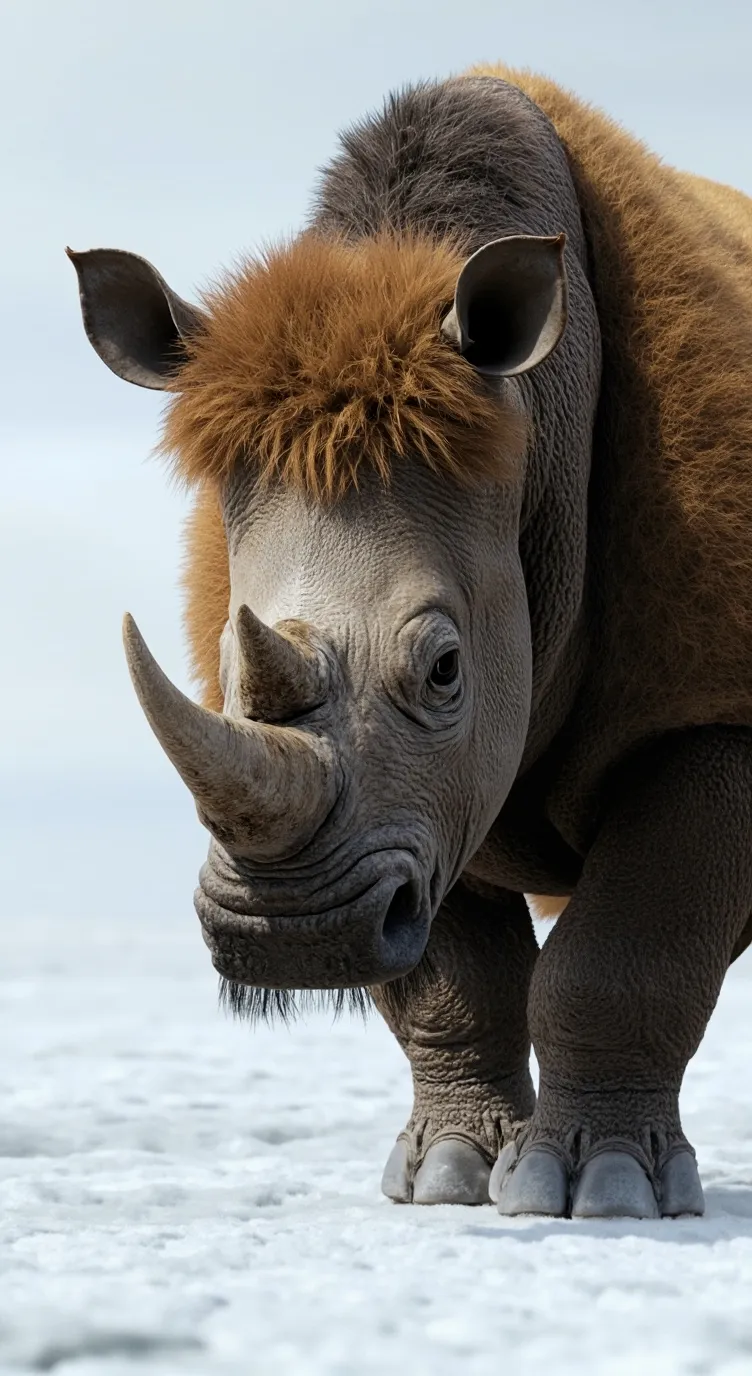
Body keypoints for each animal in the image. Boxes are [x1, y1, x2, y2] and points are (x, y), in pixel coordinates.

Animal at [69, 66, 752, 1220]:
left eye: (443, 669)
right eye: (221, 654)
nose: (288, 935)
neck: (535, 431)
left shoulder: (711, 703)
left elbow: (626, 953)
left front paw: (601, 1191)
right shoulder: (416, 809)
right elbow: (454, 973)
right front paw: (449, 1177)